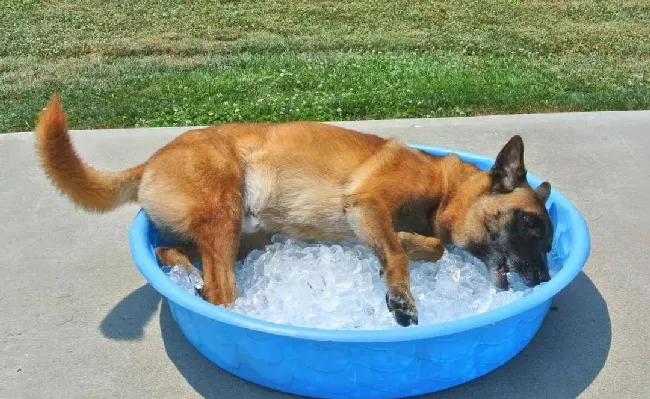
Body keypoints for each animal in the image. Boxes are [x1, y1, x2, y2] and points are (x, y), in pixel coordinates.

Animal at [34, 96, 552, 328]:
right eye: (529, 223)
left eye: (548, 241)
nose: (545, 280)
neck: (444, 188)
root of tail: (151, 161)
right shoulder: (368, 203)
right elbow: (408, 252)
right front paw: (401, 290)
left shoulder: (372, 218)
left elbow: (424, 247)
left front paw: (404, 247)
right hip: (224, 212)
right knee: (221, 292)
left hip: (246, 234)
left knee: (170, 252)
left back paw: (185, 273)